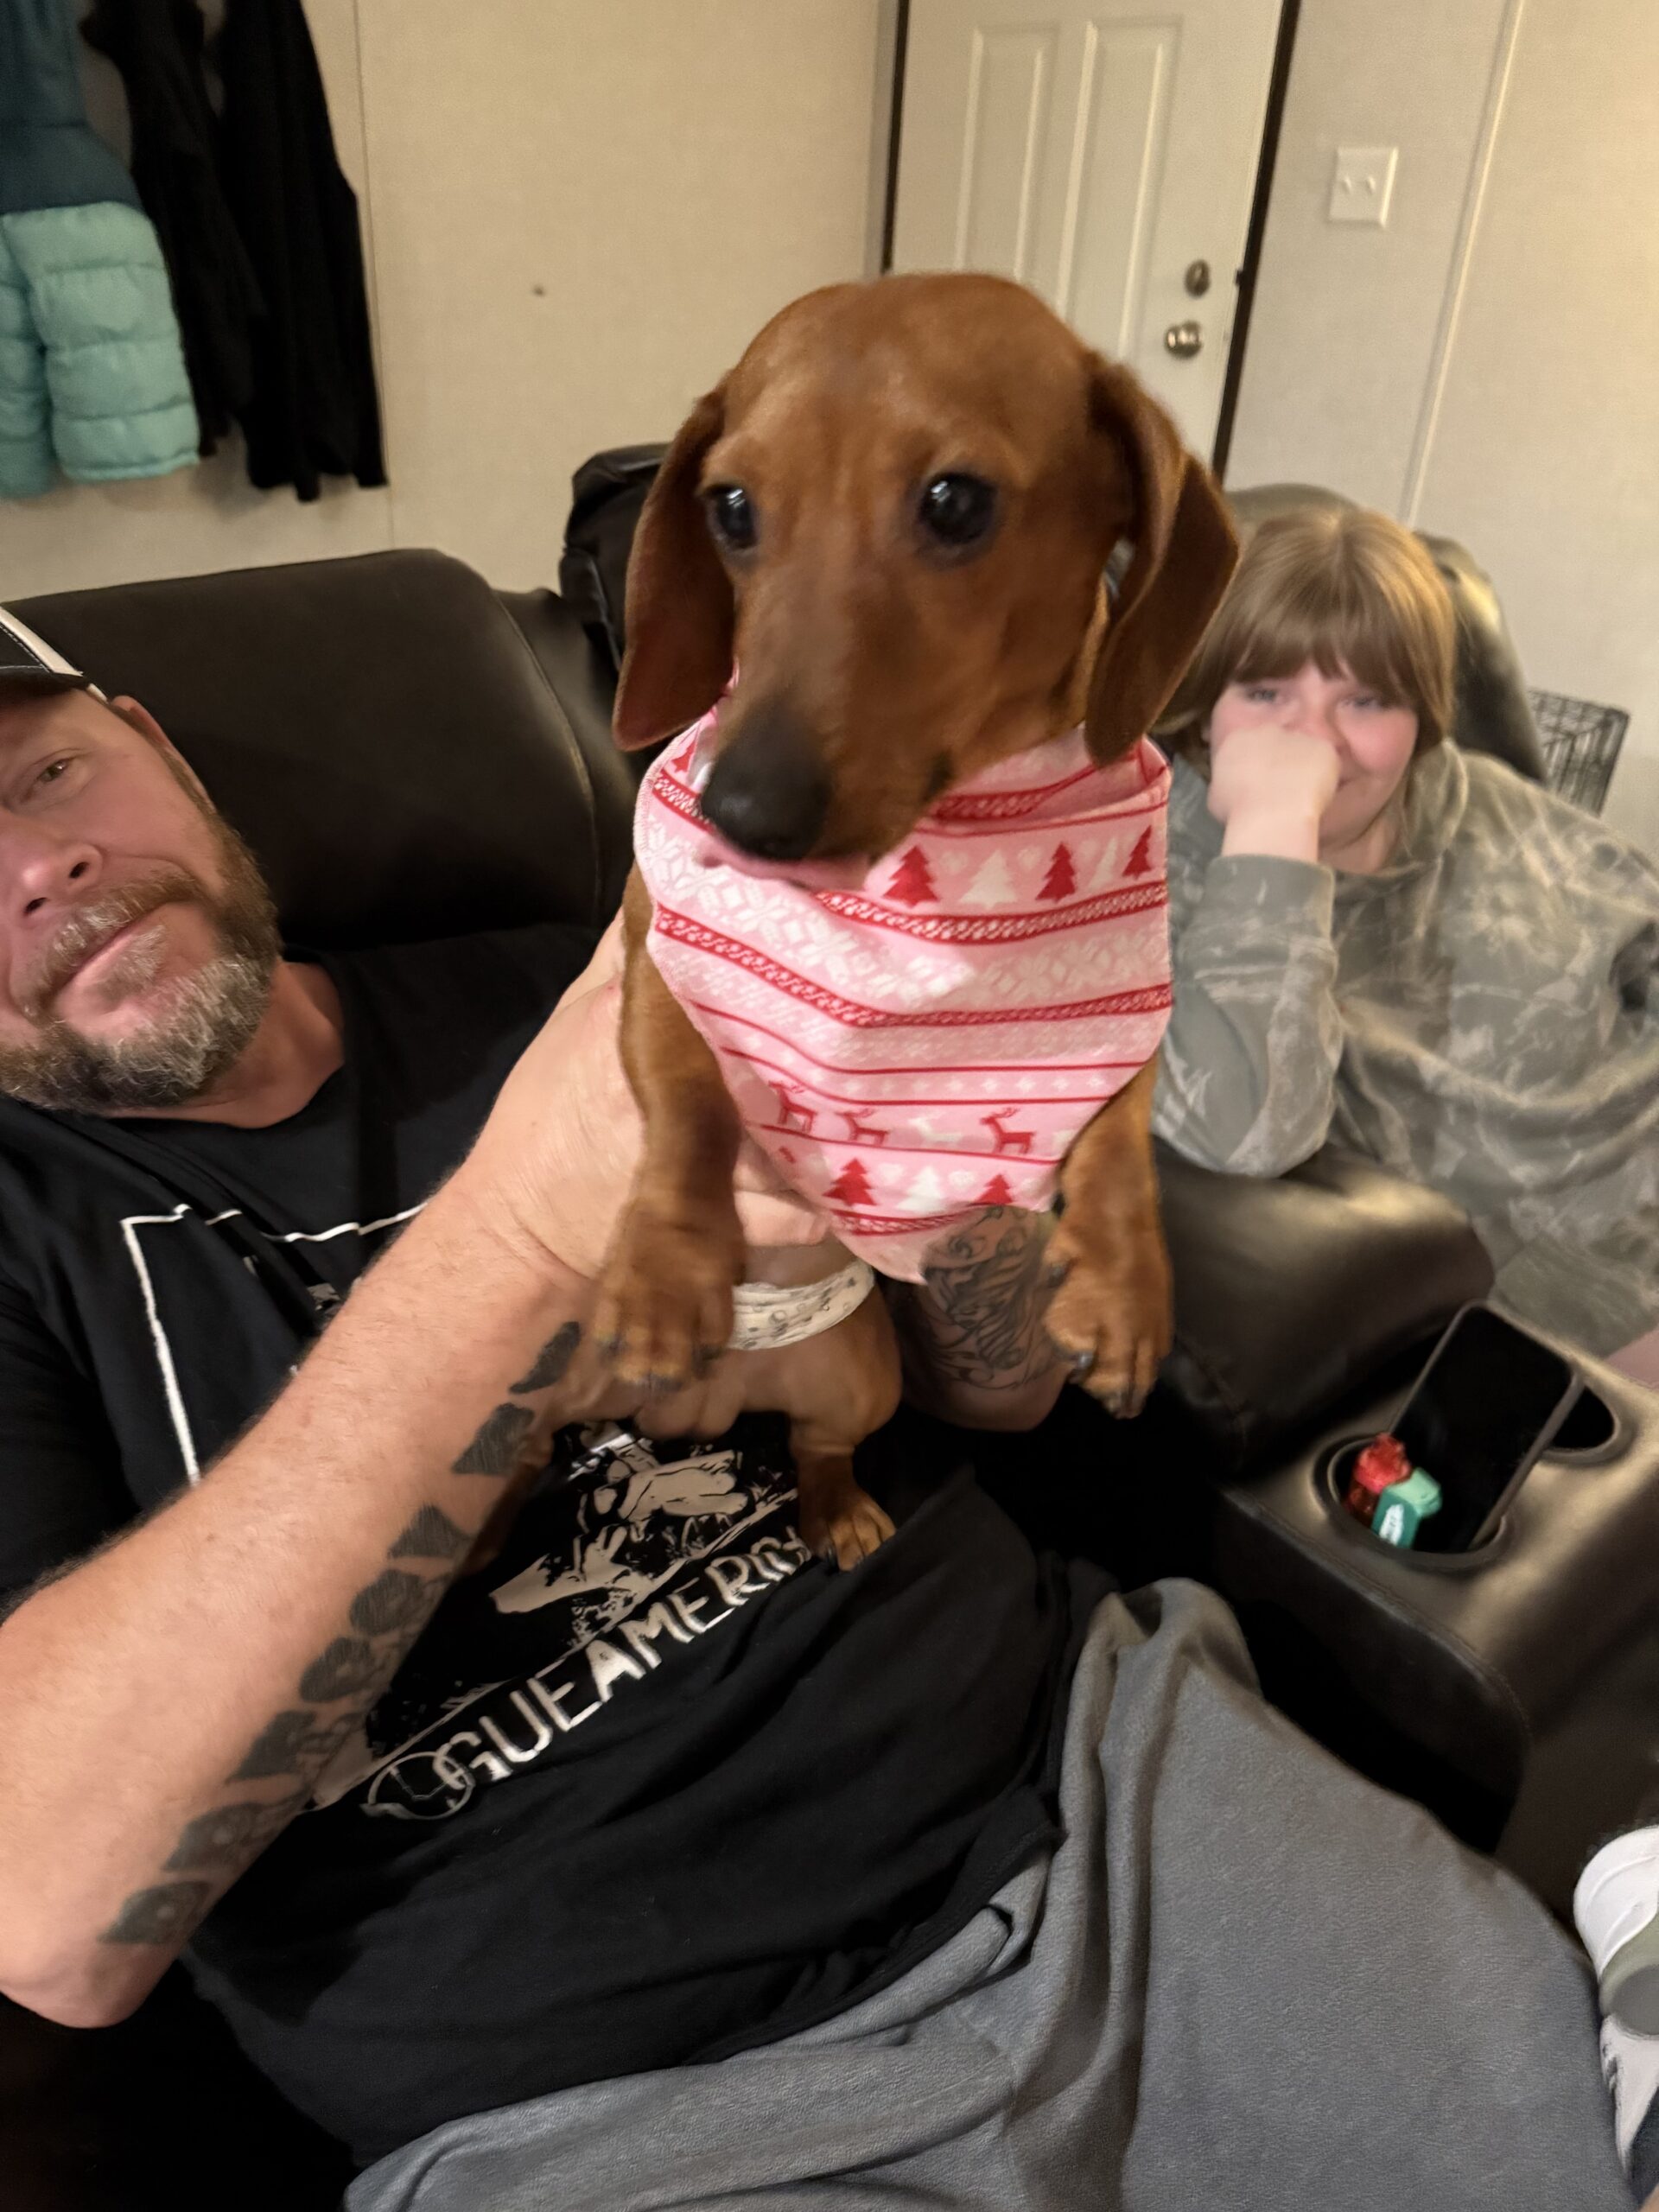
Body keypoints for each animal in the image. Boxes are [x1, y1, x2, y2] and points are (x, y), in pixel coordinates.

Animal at [592, 273, 1237, 1568]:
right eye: (731, 507)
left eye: (955, 500)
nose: (745, 815)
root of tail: (713, 1418)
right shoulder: (656, 955)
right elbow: (686, 1104)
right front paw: (666, 1269)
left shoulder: (1120, 1024)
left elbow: (1121, 1141)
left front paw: (1127, 1285)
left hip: (863, 1378)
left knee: (821, 1450)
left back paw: (838, 1510)